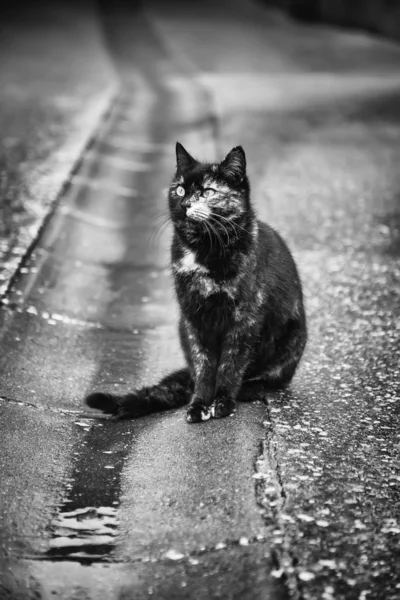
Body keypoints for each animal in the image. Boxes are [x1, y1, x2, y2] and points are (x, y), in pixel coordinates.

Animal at [86, 142, 308, 422]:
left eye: (207, 191)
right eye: (180, 189)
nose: (185, 203)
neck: (204, 250)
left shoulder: (244, 320)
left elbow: (230, 365)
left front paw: (222, 402)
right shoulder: (194, 317)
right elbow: (204, 367)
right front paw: (199, 404)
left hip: (291, 338)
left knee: (274, 380)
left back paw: (250, 388)